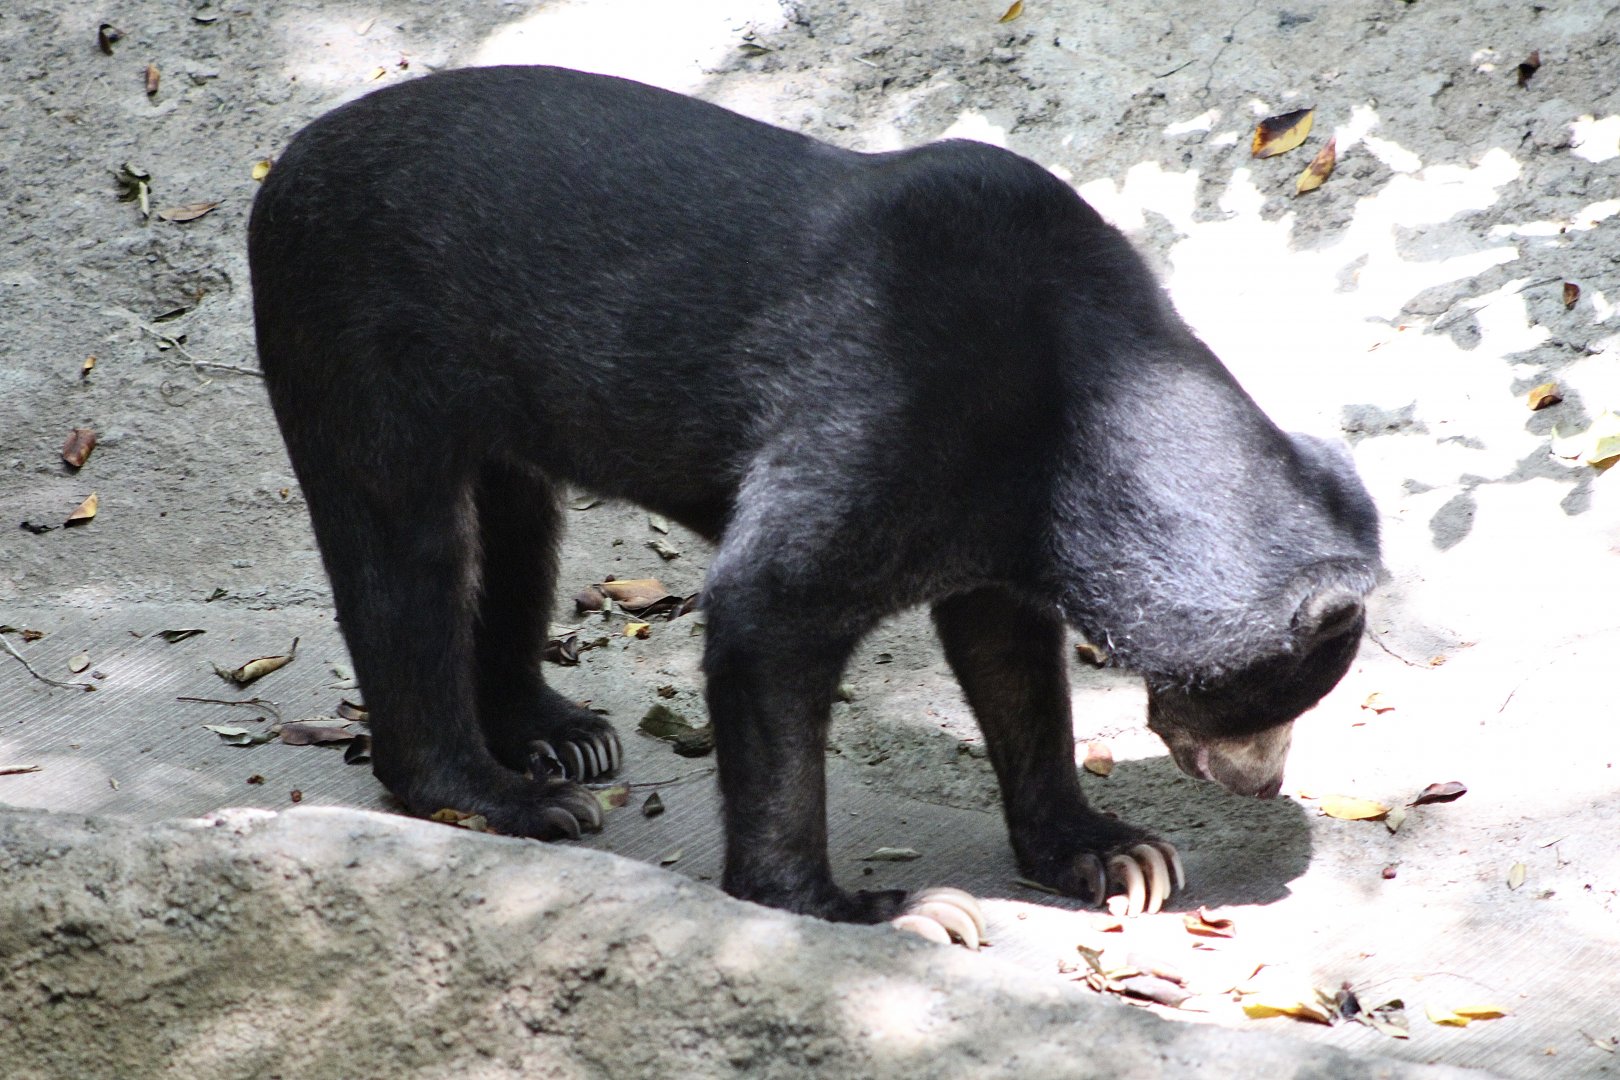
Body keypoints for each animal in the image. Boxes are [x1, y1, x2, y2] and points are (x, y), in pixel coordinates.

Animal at [248, 65, 1380, 931]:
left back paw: (559, 733)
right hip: (356, 336)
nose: (1263, 783)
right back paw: (520, 799)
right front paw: (883, 909)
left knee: (521, 534)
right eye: (1279, 699)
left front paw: (1119, 856)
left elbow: (1011, 663)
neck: (1080, 405)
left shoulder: (1004, 513)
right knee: (408, 550)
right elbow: (768, 611)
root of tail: (282, 163)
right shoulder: (884, 401)